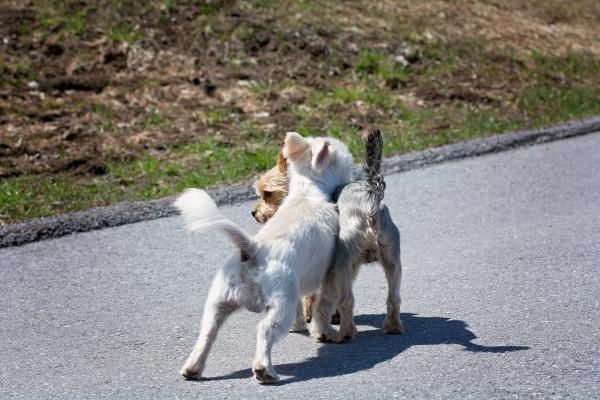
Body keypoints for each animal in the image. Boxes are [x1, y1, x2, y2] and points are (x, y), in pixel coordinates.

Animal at [175, 133, 352, 382]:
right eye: (346, 161)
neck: (308, 193)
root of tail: (253, 249)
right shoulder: (327, 275)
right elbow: (320, 308)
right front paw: (324, 332)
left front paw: (301, 326)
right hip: (280, 304)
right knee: (265, 331)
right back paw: (264, 369)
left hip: (218, 303)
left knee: (207, 333)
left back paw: (193, 368)